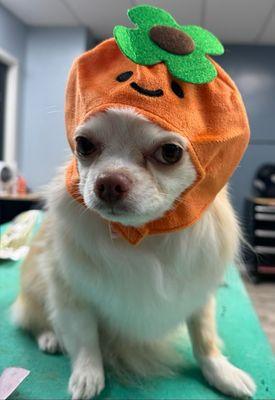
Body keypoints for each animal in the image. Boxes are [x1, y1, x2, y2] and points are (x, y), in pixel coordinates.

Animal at [10, 108, 256, 398]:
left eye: (170, 152)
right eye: (83, 145)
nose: (109, 183)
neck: (144, 235)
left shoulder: (197, 292)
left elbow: (204, 337)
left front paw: (221, 372)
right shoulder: (72, 296)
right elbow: (85, 339)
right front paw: (88, 375)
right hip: (34, 287)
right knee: (34, 318)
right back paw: (50, 337)